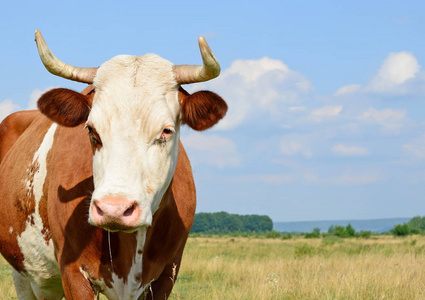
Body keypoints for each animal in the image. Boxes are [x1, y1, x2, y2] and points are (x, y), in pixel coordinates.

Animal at [0, 29, 227, 298]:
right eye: (91, 130)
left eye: (166, 130)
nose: (113, 210)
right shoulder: (73, 274)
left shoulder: (167, 274)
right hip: (24, 273)